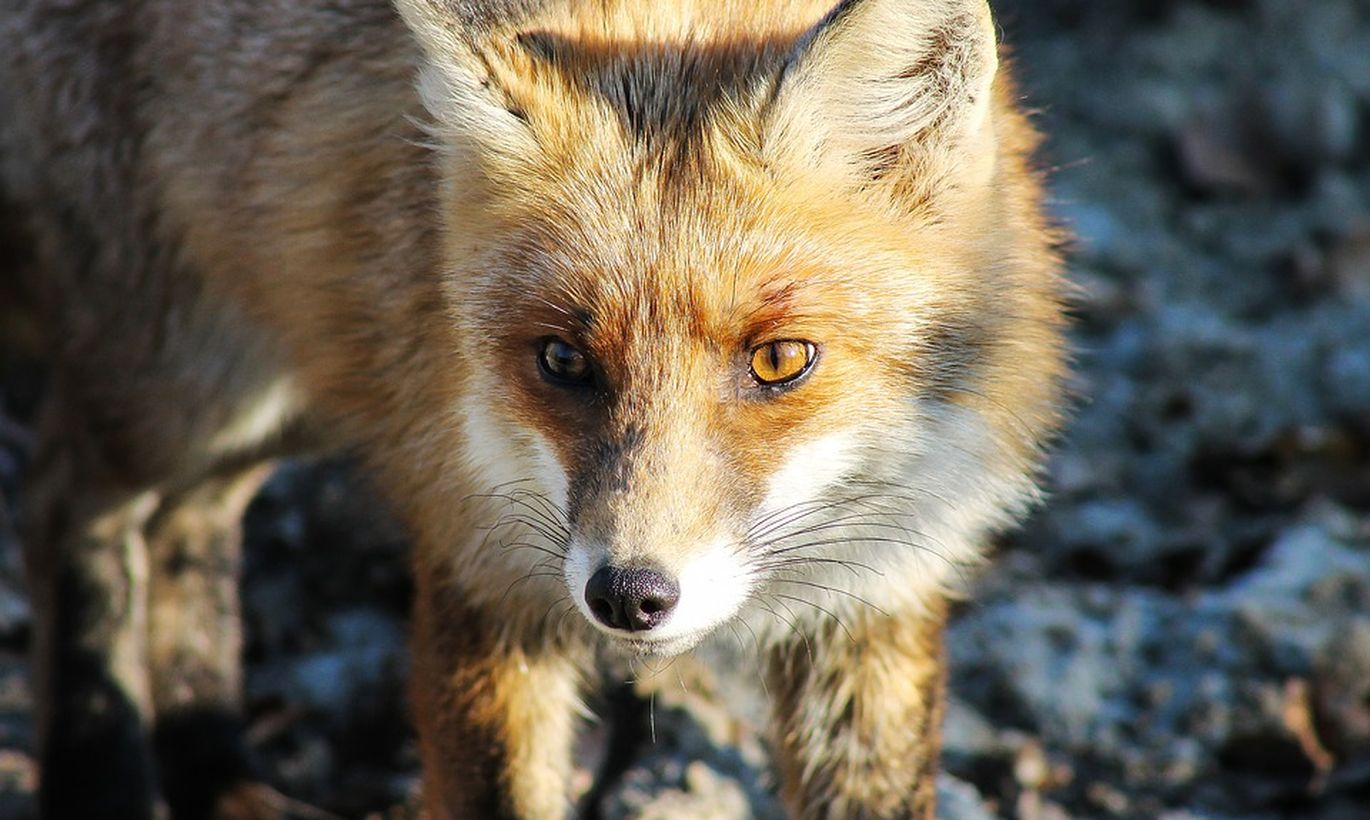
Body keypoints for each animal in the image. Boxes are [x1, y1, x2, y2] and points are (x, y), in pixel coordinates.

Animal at [2, 0, 1068, 815]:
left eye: (780, 360)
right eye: (562, 359)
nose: (629, 595)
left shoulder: (877, 603)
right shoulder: (479, 569)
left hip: (298, 381)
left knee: (188, 527)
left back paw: (216, 770)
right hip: (185, 391)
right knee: (65, 505)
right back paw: (105, 780)